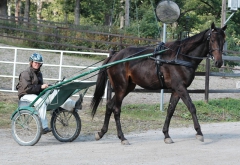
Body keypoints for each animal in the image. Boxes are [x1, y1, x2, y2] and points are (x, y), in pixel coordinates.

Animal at [90, 22, 227, 144]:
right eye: (212, 40)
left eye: (224, 41)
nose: (219, 62)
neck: (181, 57)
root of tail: (114, 57)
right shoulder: (180, 87)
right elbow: (191, 107)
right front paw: (199, 133)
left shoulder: (176, 90)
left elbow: (170, 110)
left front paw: (166, 135)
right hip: (121, 87)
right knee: (116, 109)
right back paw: (122, 137)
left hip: (127, 87)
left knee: (109, 105)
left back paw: (101, 132)